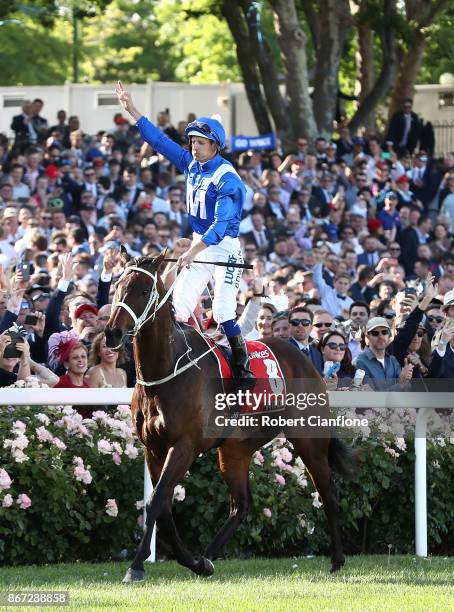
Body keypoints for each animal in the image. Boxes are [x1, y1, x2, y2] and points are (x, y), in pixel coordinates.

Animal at [105, 249, 354, 584]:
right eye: (117, 287)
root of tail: (304, 356)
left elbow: (157, 500)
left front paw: (136, 566)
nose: (112, 333)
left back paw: (337, 559)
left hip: (309, 438)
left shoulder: (184, 446)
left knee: (328, 491)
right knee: (241, 504)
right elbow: (163, 506)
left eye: (144, 291)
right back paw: (207, 558)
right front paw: (191, 560)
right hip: (236, 449)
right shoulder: (153, 448)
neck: (167, 370)